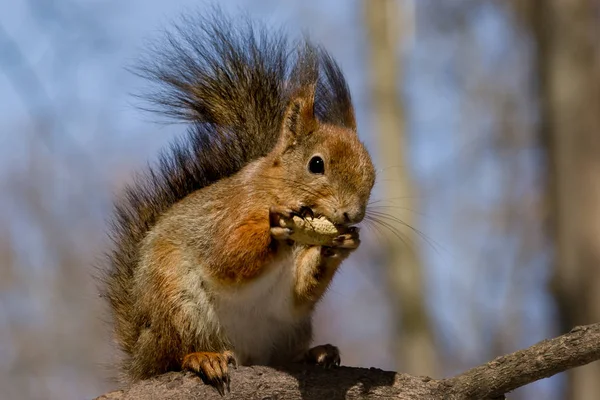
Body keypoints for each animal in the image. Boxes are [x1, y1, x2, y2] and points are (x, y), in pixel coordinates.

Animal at [102, 7, 376, 396]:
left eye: (371, 168)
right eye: (316, 164)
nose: (353, 213)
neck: (275, 189)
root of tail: (140, 359)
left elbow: (300, 290)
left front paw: (342, 244)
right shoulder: (230, 211)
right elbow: (227, 257)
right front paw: (275, 226)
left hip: (288, 329)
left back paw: (315, 353)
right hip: (175, 302)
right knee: (172, 356)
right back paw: (202, 357)